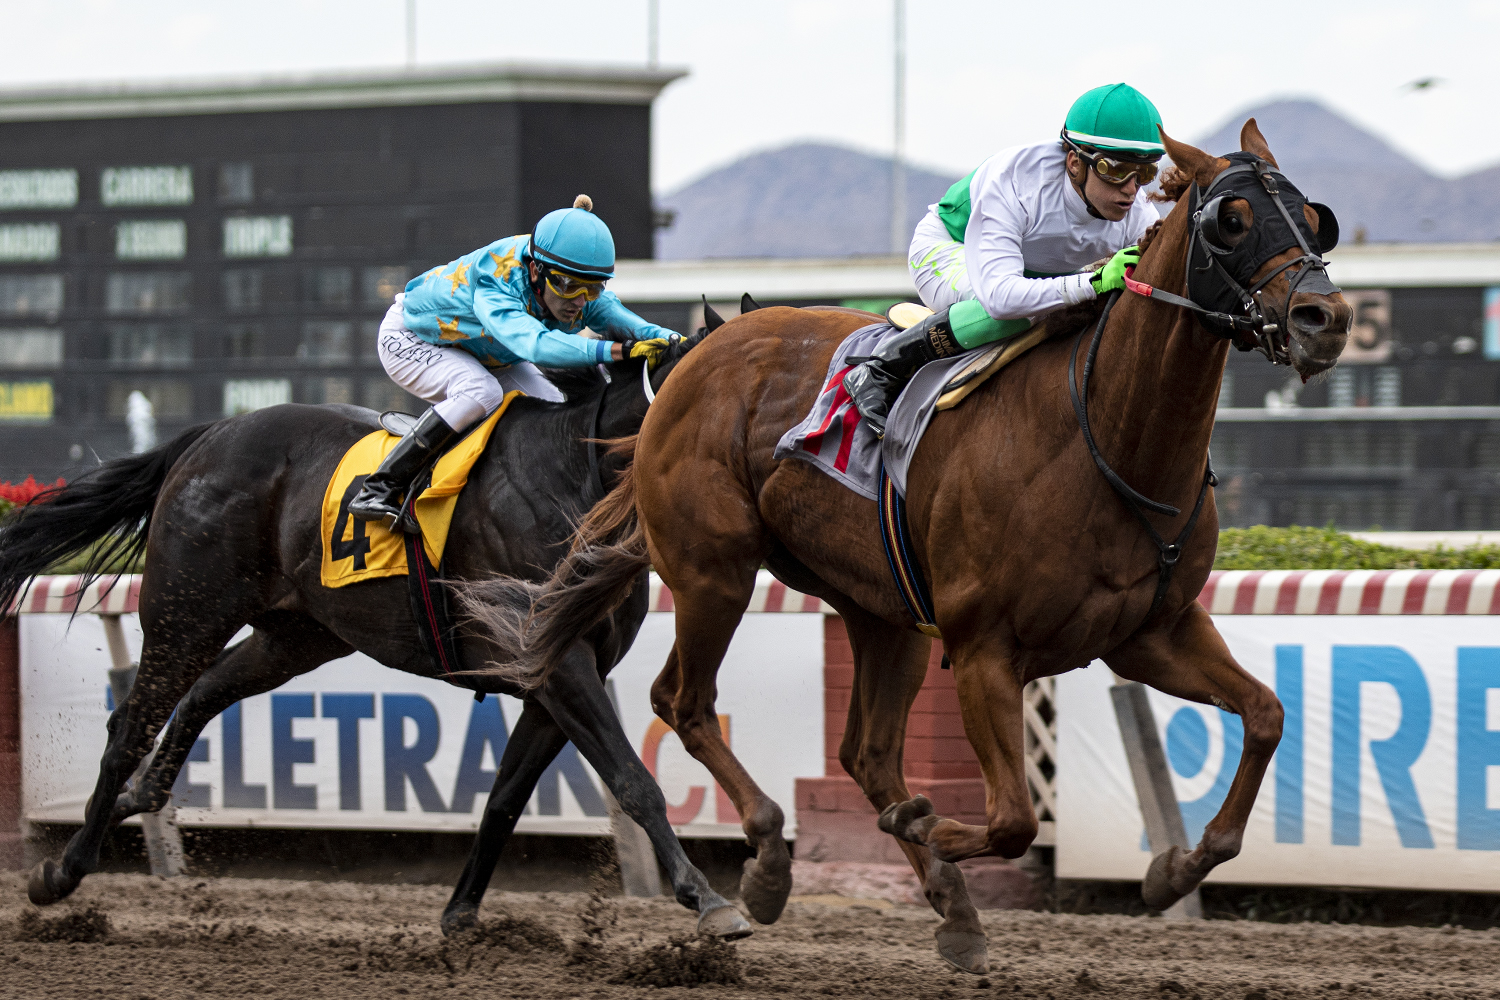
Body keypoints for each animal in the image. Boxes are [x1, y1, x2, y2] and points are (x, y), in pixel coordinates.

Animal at [0, 339, 753, 941]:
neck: (576, 481)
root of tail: (209, 435)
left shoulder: (553, 673)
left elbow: (506, 796)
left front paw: (460, 914)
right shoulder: (557, 660)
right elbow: (632, 779)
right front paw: (710, 901)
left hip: (297, 636)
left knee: (203, 694)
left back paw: (136, 802)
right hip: (188, 609)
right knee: (129, 723)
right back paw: (64, 869)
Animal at [462, 122, 1352, 974]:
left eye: (1315, 218)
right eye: (1231, 219)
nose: (1327, 320)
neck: (1108, 438)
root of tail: (698, 354)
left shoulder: (1149, 632)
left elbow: (1266, 716)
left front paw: (1175, 868)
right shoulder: (986, 645)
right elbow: (1011, 818)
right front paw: (926, 827)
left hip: (879, 609)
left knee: (866, 753)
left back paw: (950, 908)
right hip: (714, 571)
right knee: (682, 700)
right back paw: (767, 866)